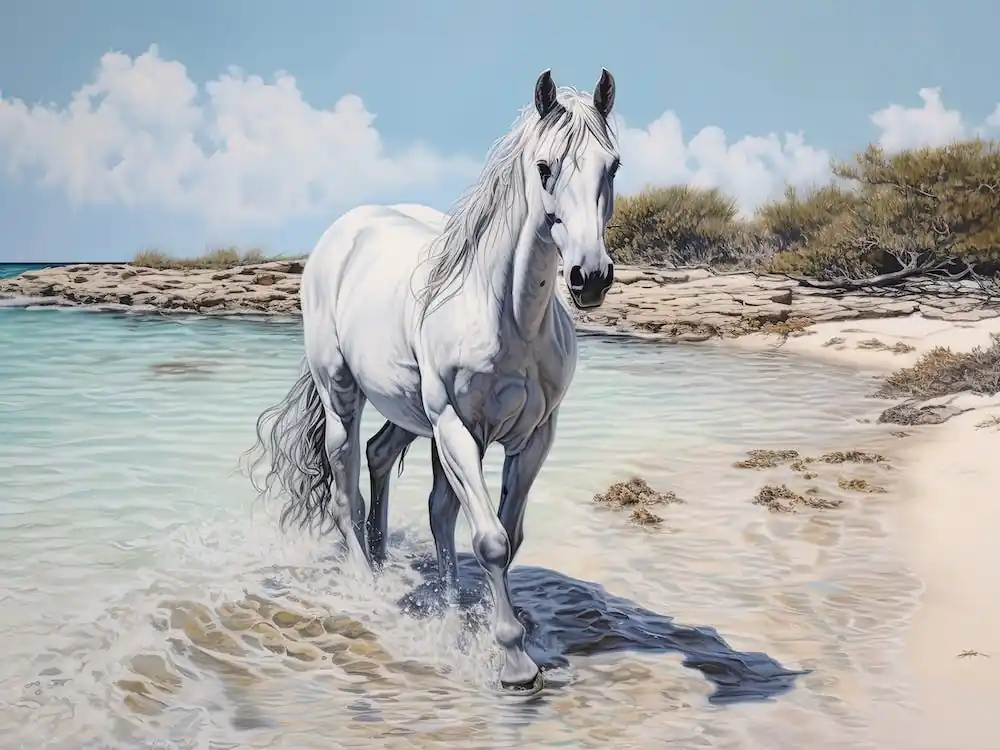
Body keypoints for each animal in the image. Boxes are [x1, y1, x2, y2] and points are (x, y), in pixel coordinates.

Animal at [249, 68, 620, 691]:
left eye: (612, 166)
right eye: (545, 167)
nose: (589, 277)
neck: (507, 314)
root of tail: (345, 232)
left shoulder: (534, 437)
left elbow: (503, 534)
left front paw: (483, 625)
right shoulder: (456, 428)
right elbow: (489, 539)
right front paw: (514, 662)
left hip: (411, 413)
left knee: (388, 465)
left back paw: (407, 576)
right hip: (346, 396)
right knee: (348, 484)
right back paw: (367, 582)